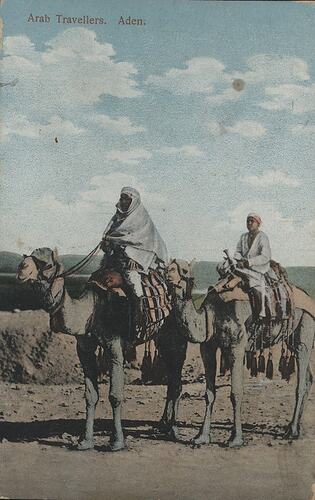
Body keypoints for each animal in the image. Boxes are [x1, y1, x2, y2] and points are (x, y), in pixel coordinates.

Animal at [17, 250, 195, 450]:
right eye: (28, 255)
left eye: (47, 264)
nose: (22, 268)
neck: (91, 310)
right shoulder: (84, 349)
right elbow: (90, 396)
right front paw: (85, 441)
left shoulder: (115, 347)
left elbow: (115, 395)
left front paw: (117, 441)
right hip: (161, 339)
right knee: (171, 378)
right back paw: (162, 424)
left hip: (177, 335)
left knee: (177, 381)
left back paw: (173, 430)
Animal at [174, 264, 315, 448]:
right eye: (167, 266)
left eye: (183, 270)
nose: (170, 277)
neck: (211, 313)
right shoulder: (207, 346)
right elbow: (209, 394)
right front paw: (201, 437)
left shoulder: (237, 346)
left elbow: (236, 393)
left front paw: (235, 439)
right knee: (309, 377)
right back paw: (294, 427)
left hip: (305, 326)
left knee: (301, 380)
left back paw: (292, 432)